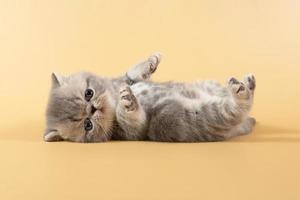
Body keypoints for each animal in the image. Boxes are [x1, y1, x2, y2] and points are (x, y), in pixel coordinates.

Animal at [44, 52, 255, 142]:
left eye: (89, 93)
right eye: (87, 125)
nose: (93, 108)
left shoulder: (125, 81)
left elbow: (130, 75)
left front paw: (150, 62)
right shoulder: (132, 132)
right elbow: (132, 120)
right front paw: (127, 103)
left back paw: (248, 83)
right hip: (197, 116)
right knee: (236, 108)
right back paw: (241, 92)